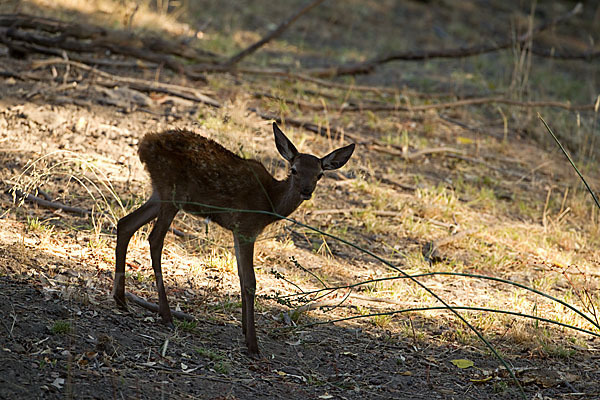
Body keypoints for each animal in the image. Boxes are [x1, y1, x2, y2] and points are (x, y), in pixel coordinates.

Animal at [113, 122, 352, 354]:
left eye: (319, 174)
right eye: (294, 170)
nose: (306, 190)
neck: (270, 203)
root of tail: (144, 144)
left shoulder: (237, 231)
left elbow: (240, 276)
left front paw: (245, 330)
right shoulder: (247, 227)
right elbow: (250, 282)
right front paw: (253, 344)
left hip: (159, 193)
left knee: (125, 224)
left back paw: (121, 299)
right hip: (172, 193)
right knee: (155, 239)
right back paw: (166, 314)